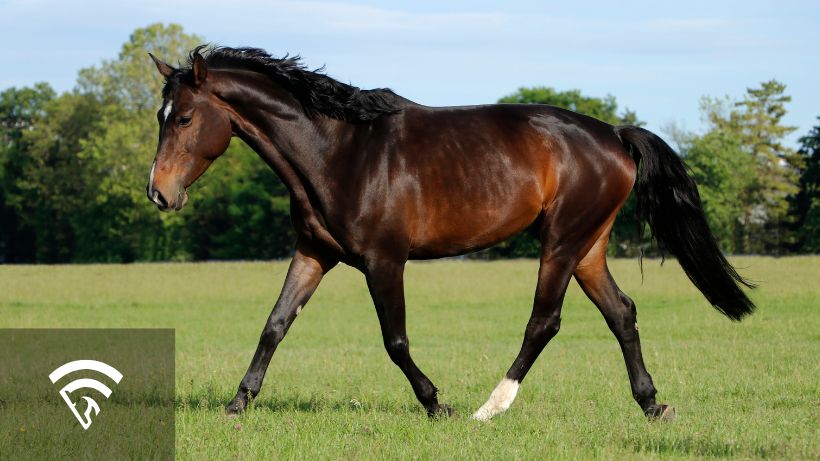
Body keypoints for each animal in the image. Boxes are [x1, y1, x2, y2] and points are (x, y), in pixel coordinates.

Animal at [144, 46, 752, 420]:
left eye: (184, 118)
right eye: (160, 115)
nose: (159, 193)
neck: (340, 153)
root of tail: (615, 134)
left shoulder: (384, 261)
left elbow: (395, 341)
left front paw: (437, 404)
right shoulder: (314, 253)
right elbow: (274, 325)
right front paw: (238, 404)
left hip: (560, 243)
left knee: (544, 322)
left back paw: (489, 408)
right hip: (587, 247)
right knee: (621, 313)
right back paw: (652, 405)